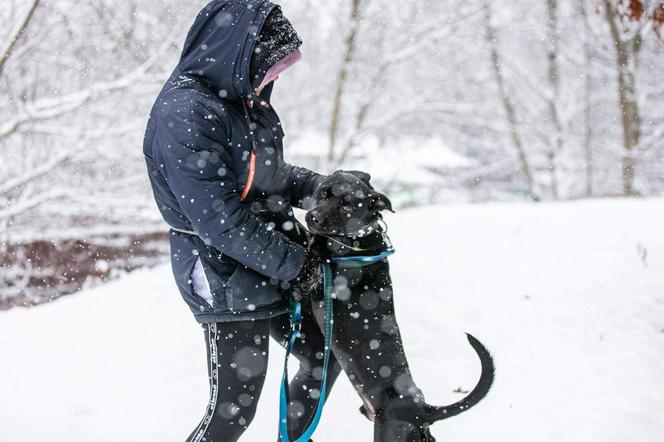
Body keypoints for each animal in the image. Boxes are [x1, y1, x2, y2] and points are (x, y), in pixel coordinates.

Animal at [306, 172, 492, 442]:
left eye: (347, 206)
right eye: (324, 193)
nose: (313, 217)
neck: (357, 243)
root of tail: (423, 409)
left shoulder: (318, 284)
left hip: (388, 432)